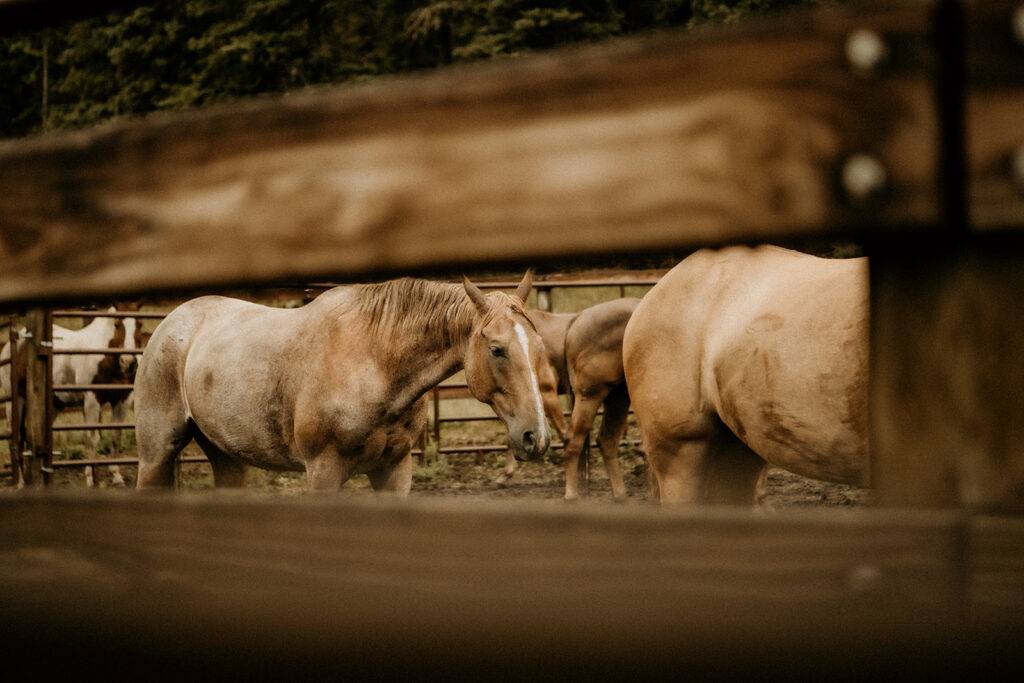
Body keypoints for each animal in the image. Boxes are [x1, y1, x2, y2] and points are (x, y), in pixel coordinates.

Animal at [2, 305, 142, 486]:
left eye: (139, 324)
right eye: (117, 325)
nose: (129, 362)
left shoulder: (122, 400)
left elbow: (115, 436)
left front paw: (116, 476)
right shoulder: (91, 400)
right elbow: (92, 438)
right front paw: (90, 478)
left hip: (54, 405)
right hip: (16, 400)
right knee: (15, 437)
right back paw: (20, 481)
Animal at [133, 273, 551, 493]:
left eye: (538, 346)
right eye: (497, 349)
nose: (537, 438)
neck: (374, 363)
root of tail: (171, 322)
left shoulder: (394, 471)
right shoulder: (323, 473)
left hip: (227, 458)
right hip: (155, 456)